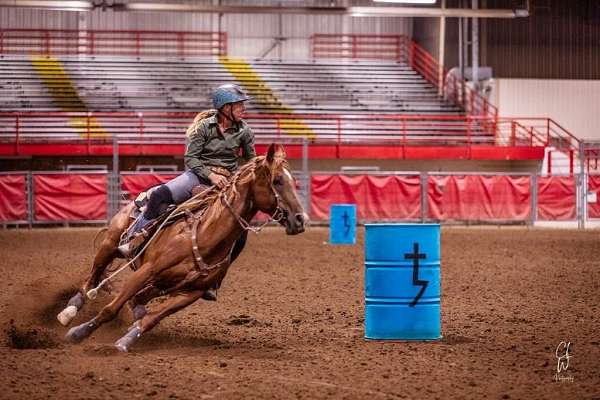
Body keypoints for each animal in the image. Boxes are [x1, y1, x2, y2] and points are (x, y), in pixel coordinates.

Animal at [58, 145, 308, 352]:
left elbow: (152, 319)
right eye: (277, 180)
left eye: (293, 181)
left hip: (161, 285)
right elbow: (111, 309)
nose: (300, 219)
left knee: (137, 300)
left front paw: (125, 341)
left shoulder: (191, 293)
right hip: (111, 245)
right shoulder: (145, 271)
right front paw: (78, 333)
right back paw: (69, 311)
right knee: (92, 279)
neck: (203, 236)